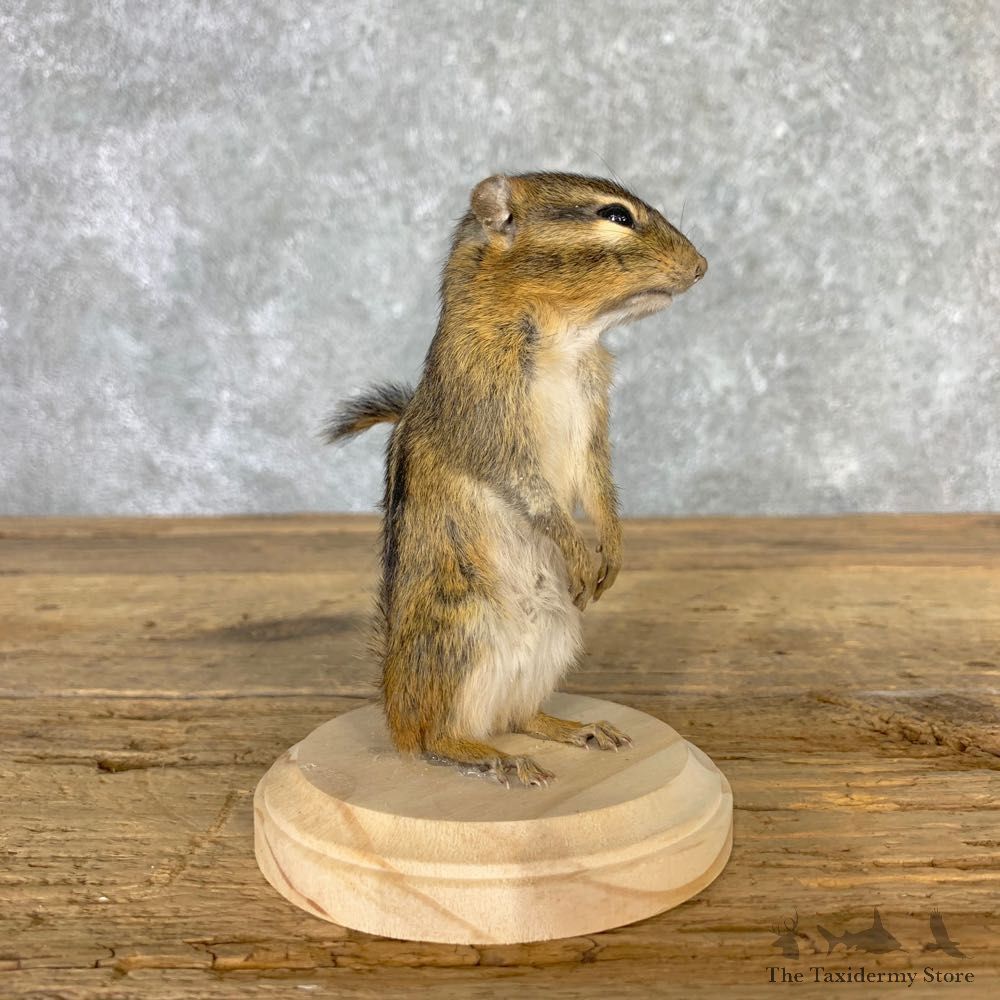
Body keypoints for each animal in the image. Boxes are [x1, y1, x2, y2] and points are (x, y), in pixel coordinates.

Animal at [325, 172, 706, 787]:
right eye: (616, 216)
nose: (701, 266)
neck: (566, 339)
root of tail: (392, 702)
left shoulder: (592, 425)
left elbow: (599, 486)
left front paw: (612, 548)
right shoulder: (491, 424)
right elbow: (533, 493)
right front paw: (579, 550)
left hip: (556, 634)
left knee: (518, 716)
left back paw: (577, 729)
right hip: (461, 634)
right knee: (434, 740)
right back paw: (492, 758)